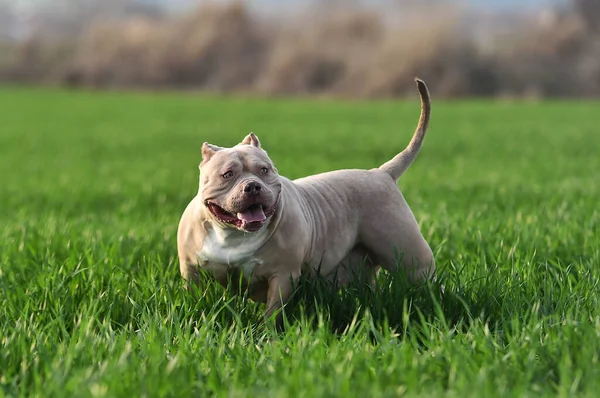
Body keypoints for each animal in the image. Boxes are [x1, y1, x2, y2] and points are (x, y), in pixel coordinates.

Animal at [178, 77, 436, 320]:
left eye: (264, 170)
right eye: (228, 174)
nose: (252, 187)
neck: (232, 235)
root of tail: (381, 173)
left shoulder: (282, 276)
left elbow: (273, 314)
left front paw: (267, 333)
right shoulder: (191, 271)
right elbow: (196, 297)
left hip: (409, 257)